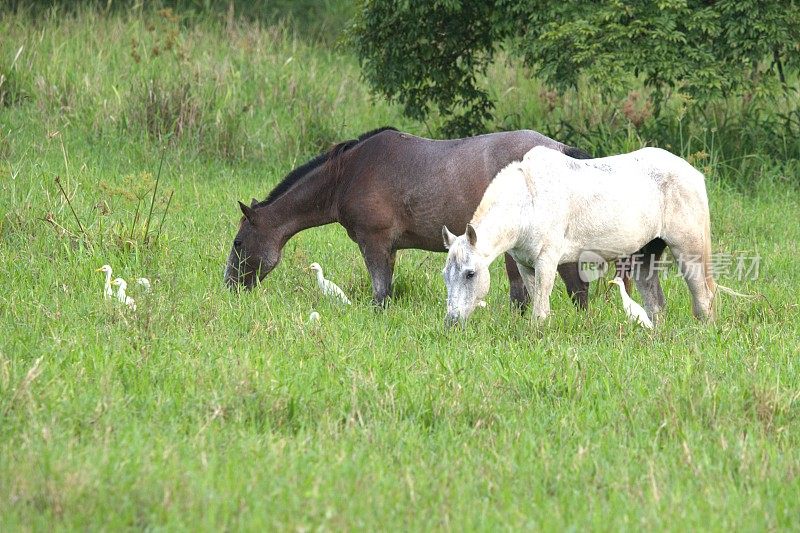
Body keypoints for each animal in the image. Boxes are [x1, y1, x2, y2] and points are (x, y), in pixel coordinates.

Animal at [225, 126, 592, 306]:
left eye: (239, 243)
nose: (229, 285)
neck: (347, 174)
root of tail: (560, 150)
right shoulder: (390, 248)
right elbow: (386, 290)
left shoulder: (373, 243)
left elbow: (379, 294)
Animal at [444, 148, 720, 326]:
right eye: (445, 276)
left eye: (470, 274)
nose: (451, 322)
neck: (529, 201)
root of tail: (693, 173)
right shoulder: (526, 266)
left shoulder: (546, 262)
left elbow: (540, 311)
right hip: (645, 256)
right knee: (656, 304)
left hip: (688, 251)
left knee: (704, 300)